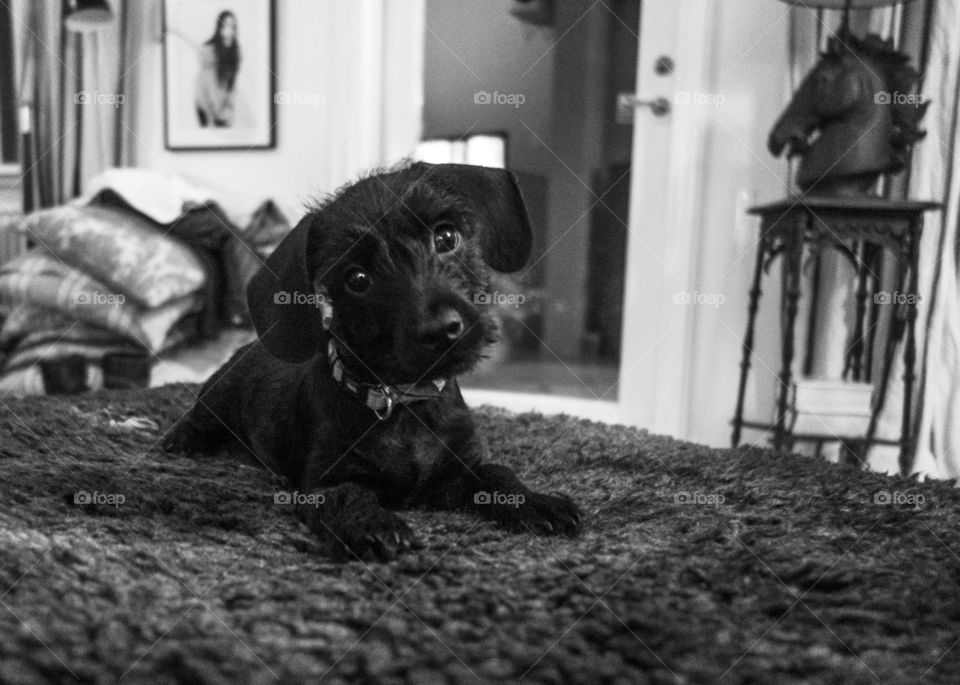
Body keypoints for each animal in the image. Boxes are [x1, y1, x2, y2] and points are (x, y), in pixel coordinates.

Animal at [162, 163, 580, 560]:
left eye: (446, 237)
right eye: (357, 278)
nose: (442, 330)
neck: (404, 400)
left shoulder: (457, 470)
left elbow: (496, 472)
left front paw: (536, 502)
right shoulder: (322, 482)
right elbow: (348, 494)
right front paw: (374, 524)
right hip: (217, 395)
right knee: (199, 416)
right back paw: (180, 439)